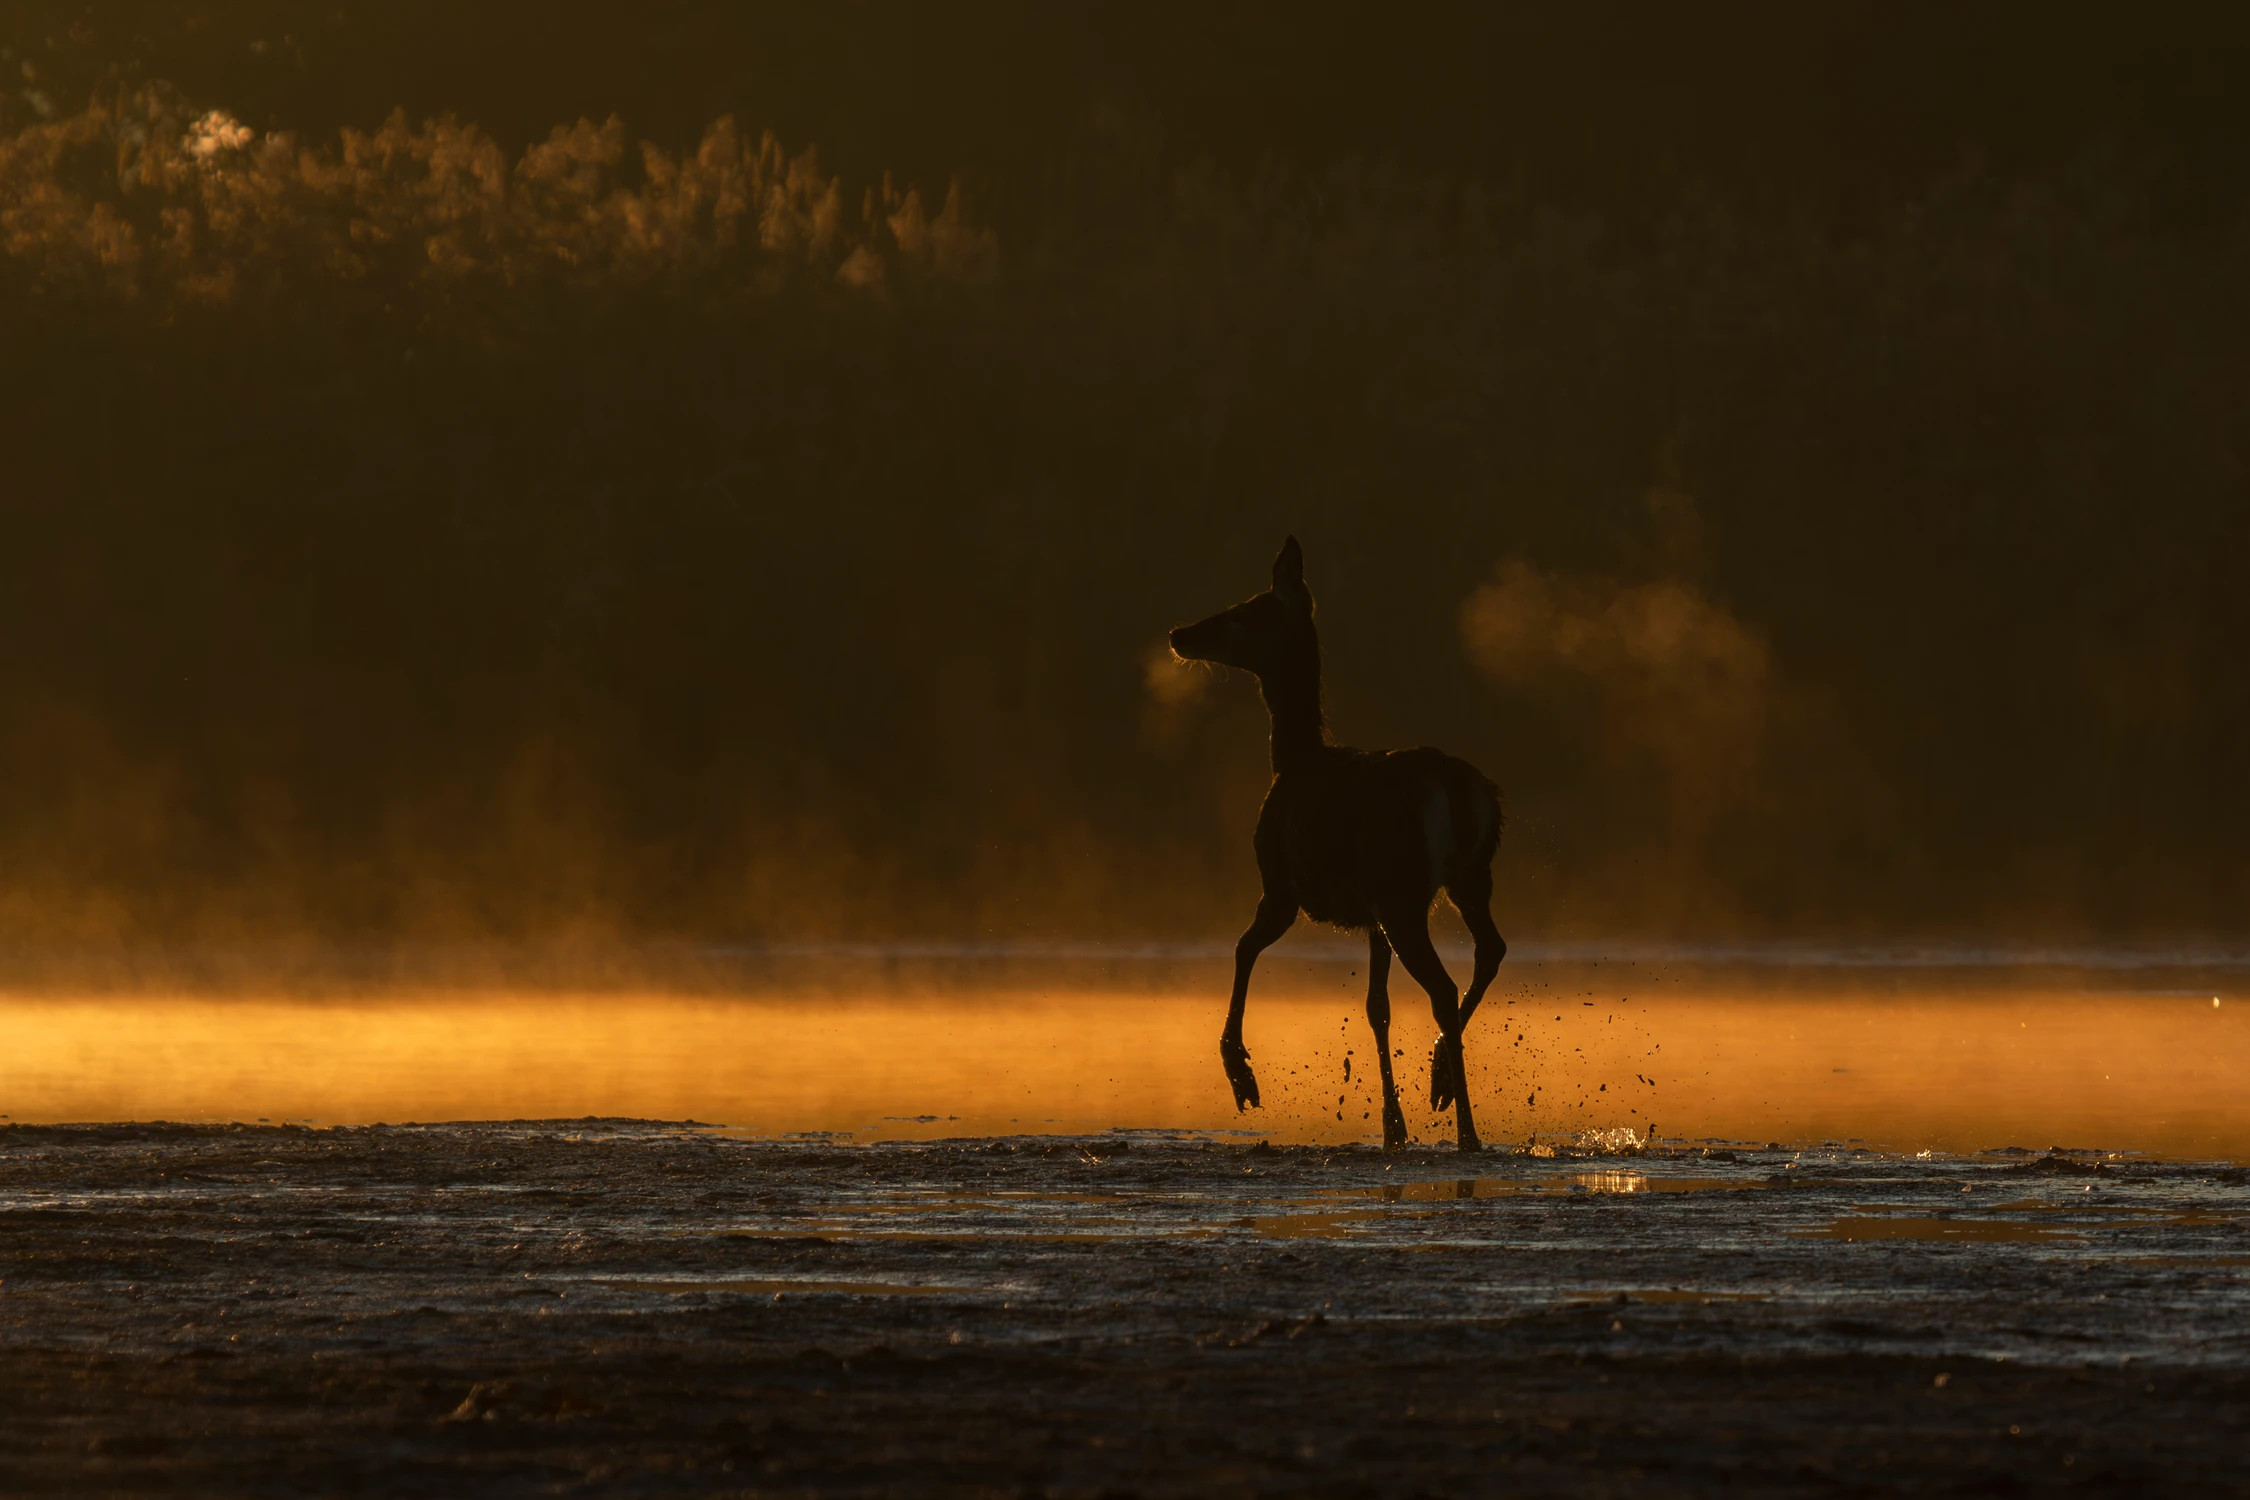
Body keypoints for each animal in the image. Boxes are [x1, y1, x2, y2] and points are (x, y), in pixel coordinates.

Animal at [1170, 537, 1503, 1151]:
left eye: (1245, 611)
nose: (1181, 633)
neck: (1291, 759)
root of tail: (1459, 788)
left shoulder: (1281, 886)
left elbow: (1242, 948)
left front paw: (1241, 1073)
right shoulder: (1369, 917)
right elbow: (1377, 1008)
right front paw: (1393, 1126)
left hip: (1403, 891)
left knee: (1444, 988)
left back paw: (1466, 1127)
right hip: (1468, 879)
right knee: (1490, 949)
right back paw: (1440, 1080)